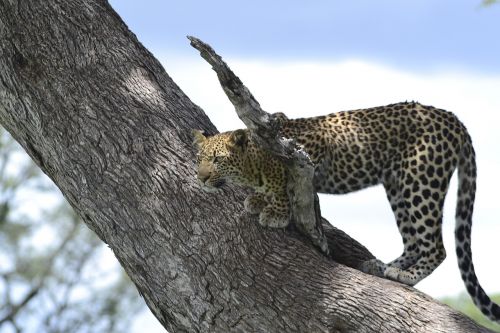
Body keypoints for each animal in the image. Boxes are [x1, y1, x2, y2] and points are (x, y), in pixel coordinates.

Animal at [192, 101, 500, 322]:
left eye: (217, 159)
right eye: (199, 159)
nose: (202, 178)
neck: (254, 163)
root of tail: (453, 119)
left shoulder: (311, 148)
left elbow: (285, 180)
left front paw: (276, 211)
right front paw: (258, 199)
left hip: (421, 180)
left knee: (436, 246)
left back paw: (407, 276)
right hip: (397, 185)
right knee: (414, 241)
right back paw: (381, 267)